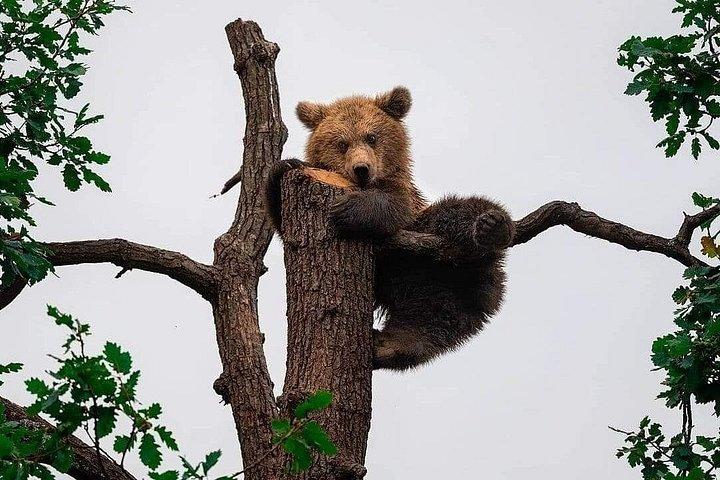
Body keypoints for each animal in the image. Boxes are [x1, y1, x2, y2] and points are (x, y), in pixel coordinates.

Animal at [266, 86, 514, 370]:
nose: (361, 168)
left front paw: (347, 208)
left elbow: (392, 205)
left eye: (372, 136)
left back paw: (491, 226)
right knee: (428, 322)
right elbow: (280, 219)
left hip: (438, 254)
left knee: (461, 210)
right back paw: (387, 346)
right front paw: (284, 165)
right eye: (342, 143)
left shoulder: (405, 199)